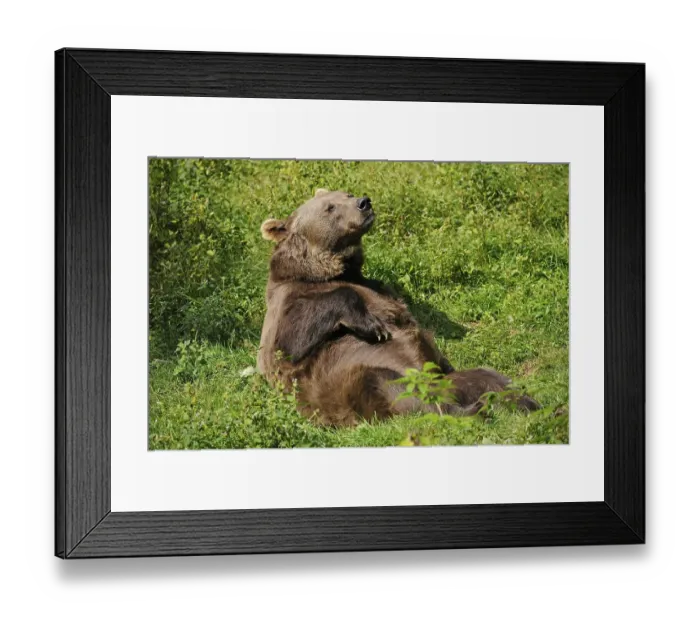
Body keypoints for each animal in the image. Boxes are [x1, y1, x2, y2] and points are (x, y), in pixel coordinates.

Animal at [257, 189, 539, 427]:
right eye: (330, 207)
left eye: (346, 193)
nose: (363, 202)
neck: (328, 271)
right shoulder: (288, 304)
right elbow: (291, 341)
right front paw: (374, 327)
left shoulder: (379, 287)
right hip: (361, 380)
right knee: (395, 389)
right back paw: (474, 410)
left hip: (452, 380)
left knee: (488, 377)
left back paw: (523, 401)